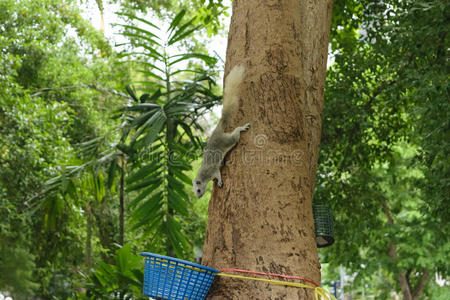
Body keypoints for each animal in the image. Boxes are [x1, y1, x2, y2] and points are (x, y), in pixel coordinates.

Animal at [192, 64, 251, 198]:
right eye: (195, 191)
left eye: (198, 190)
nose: (198, 197)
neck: (203, 176)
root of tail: (217, 132)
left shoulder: (212, 170)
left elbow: (218, 174)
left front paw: (219, 181)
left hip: (228, 140)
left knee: (235, 136)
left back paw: (241, 128)